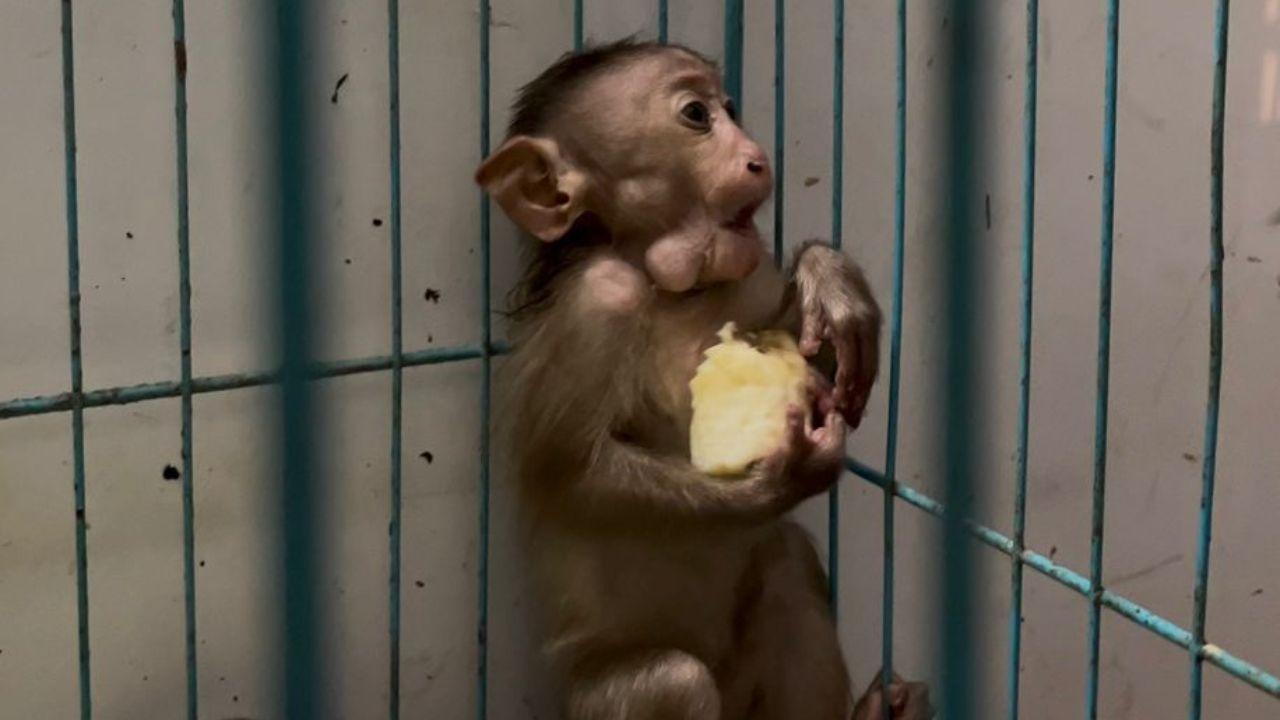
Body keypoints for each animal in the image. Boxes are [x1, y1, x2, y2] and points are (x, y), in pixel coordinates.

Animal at [476, 39, 933, 720]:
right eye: (697, 115)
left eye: (732, 108)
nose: (757, 157)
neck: (672, 289)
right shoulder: (598, 300)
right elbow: (568, 475)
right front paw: (778, 481)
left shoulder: (751, 274)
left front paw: (830, 281)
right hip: (594, 700)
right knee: (674, 680)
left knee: (788, 571)